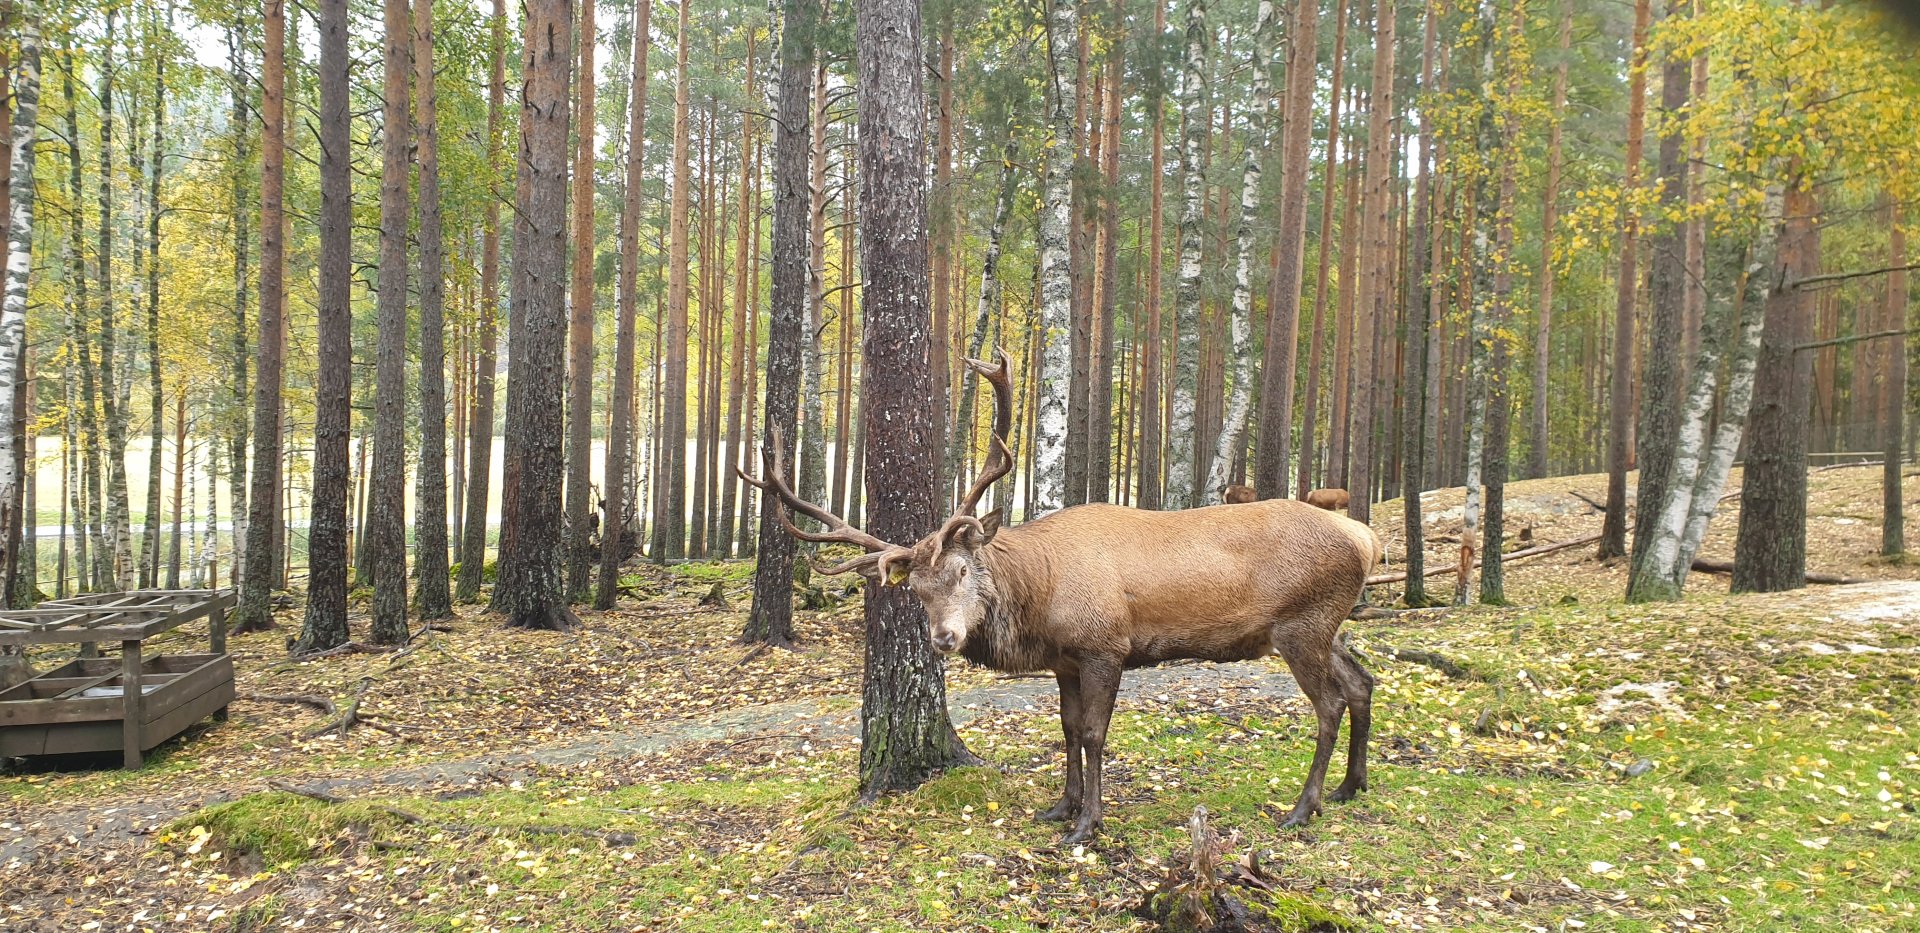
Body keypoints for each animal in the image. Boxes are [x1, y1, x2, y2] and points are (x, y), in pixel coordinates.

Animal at [741, 350, 1384, 845]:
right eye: (917, 590)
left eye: (962, 569)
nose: (944, 638)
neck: (1040, 599)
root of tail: (1367, 538)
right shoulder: (1065, 660)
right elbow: (1068, 728)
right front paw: (1060, 806)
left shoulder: (1106, 647)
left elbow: (1096, 733)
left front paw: (1088, 824)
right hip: (1328, 624)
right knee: (1362, 680)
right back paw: (1351, 786)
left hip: (1301, 625)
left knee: (1328, 703)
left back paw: (1303, 808)